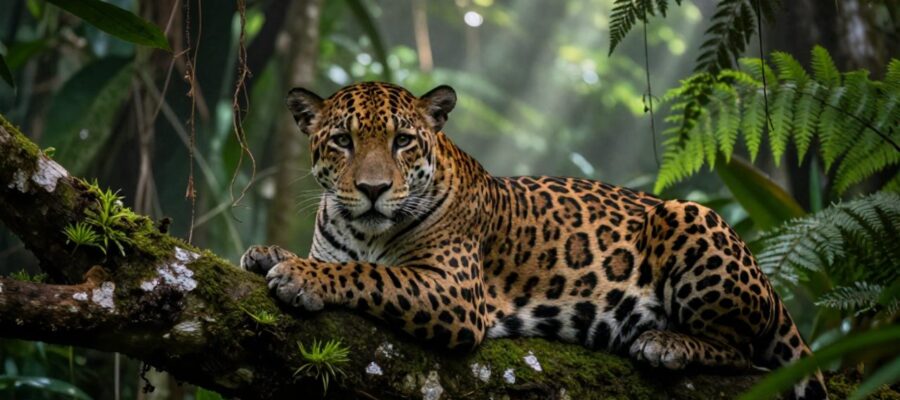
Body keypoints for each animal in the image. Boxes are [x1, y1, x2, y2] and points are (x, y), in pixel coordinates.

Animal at [240, 82, 828, 399]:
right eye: (342, 140)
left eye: (403, 141)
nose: (373, 189)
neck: (363, 227)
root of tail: (769, 285)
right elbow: (342, 260)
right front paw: (267, 253)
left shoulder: (454, 292)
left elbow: (368, 273)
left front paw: (301, 276)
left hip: (687, 214)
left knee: (743, 352)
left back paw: (665, 343)